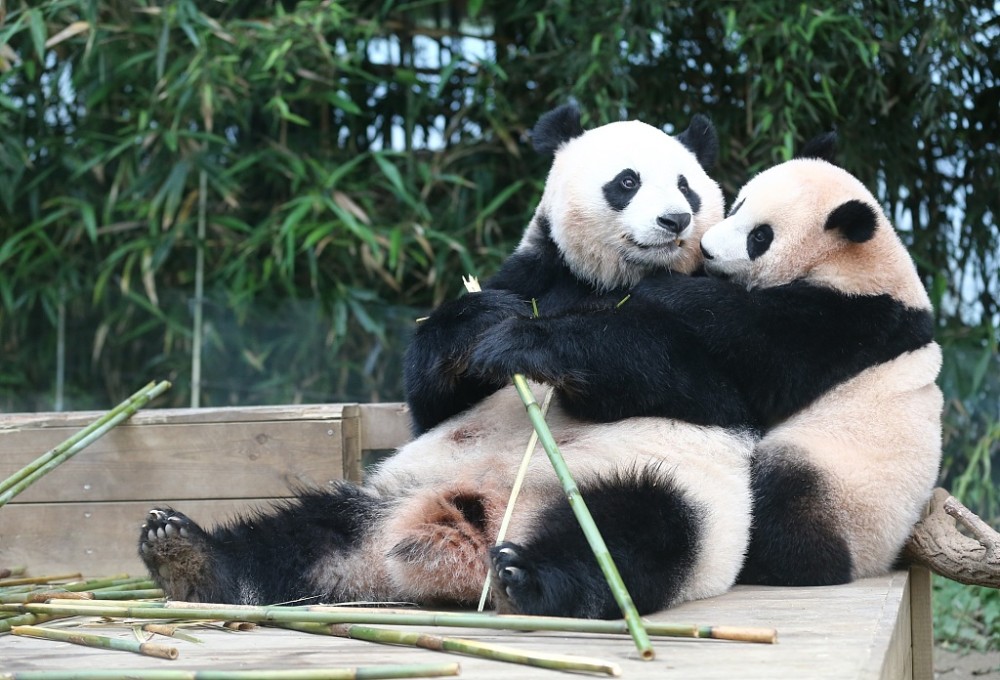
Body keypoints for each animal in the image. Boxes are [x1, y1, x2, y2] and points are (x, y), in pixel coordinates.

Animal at [139, 103, 756, 620]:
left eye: (686, 187)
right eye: (627, 182)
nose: (675, 220)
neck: (608, 280)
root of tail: (464, 537)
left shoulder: (713, 302)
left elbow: (707, 376)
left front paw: (534, 341)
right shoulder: (532, 273)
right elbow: (432, 400)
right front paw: (482, 321)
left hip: (673, 496)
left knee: (627, 537)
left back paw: (530, 579)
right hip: (385, 495)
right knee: (303, 534)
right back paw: (188, 557)